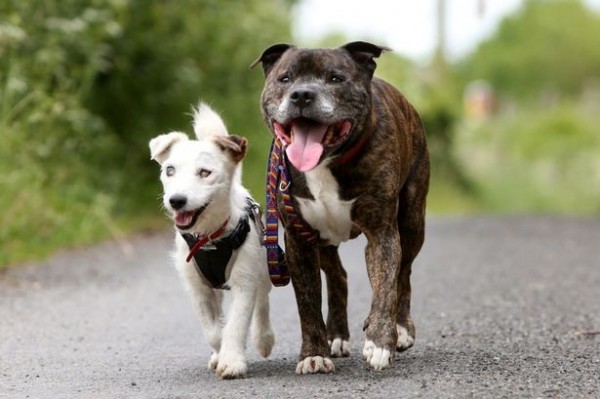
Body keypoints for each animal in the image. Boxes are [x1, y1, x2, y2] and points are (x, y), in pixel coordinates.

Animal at [149, 103, 276, 378]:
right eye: (169, 170)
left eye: (205, 172)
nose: (176, 200)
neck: (208, 238)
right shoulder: (198, 288)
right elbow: (213, 330)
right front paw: (220, 353)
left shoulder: (244, 281)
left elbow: (236, 323)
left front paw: (232, 362)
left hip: (263, 267)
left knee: (263, 301)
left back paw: (264, 338)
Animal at [251, 41, 428, 376]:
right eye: (285, 78)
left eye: (335, 78)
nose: (302, 94)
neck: (327, 162)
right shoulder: (299, 240)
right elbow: (307, 304)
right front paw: (314, 354)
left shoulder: (382, 234)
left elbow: (386, 286)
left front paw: (380, 342)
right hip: (322, 240)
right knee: (339, 276)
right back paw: (336, 335)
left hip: (413, 220)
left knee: (404, 273)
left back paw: (400, 328)